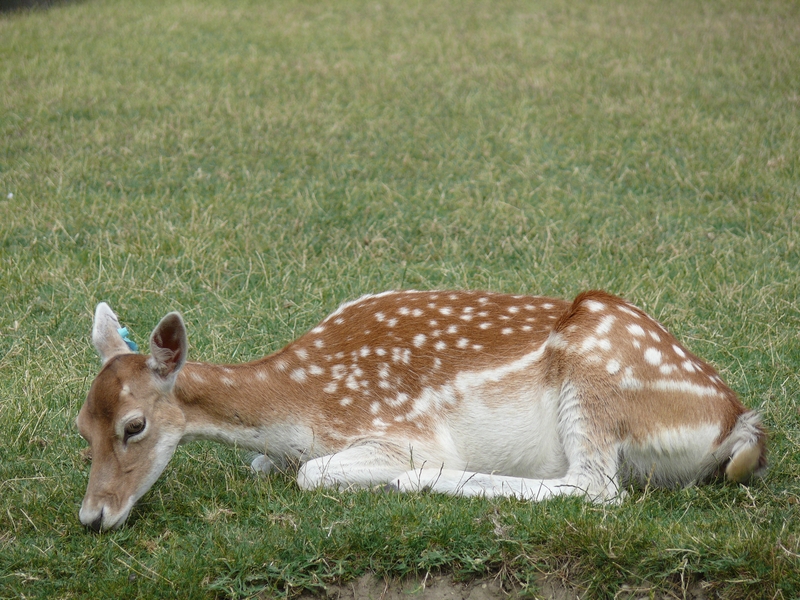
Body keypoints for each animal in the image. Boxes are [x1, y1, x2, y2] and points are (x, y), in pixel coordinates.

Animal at [78, 290, 764, 528]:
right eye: (82, 427)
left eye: (134, 426)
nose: (92, 517)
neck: (295, 409)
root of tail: (738, 425)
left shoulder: (400, 430)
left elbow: (311, 474)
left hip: (595, 382)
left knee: (597, 487)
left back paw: (423, 482)